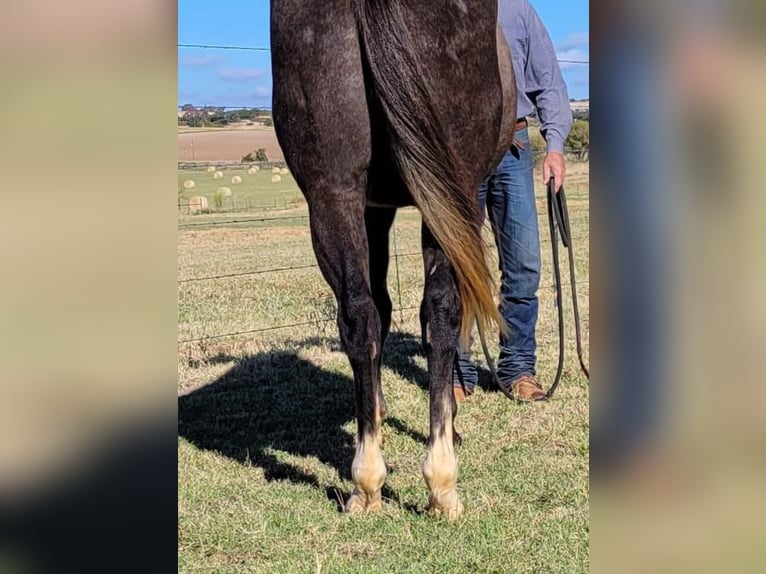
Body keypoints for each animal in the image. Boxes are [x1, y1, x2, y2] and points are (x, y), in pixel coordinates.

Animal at [270, 0, 516, 520]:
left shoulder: (372, 206)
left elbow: (377, 311)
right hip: (457, 193)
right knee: (443, 311)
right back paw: (441, 484)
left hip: (333, 194)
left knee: (358, 315)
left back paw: (366, 483)